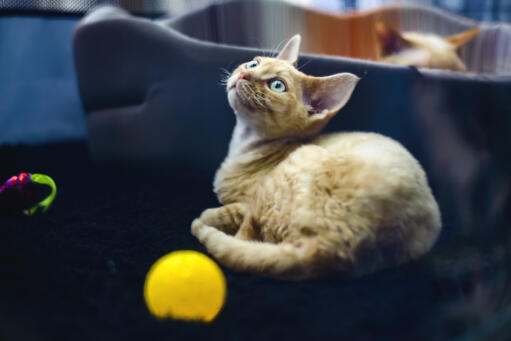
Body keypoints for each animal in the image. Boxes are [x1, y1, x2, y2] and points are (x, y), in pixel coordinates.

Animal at [190, 34, 442, 278]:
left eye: (277, 85)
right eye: (254, 63)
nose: (244, 73)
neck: (243, 146)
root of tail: (325, 246)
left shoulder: (245, 203)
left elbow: (226, 212)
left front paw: (205, 218)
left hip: (290, 173)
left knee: (246, 240)